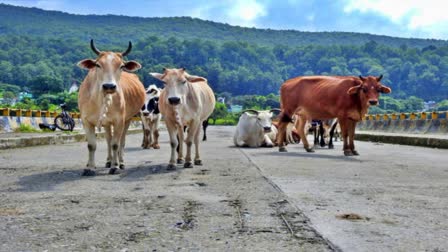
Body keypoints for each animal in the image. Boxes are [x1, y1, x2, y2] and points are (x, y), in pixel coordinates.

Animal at [77, 40, 145, 176]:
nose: (109, 86)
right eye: (98, 65)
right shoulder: (86, 121)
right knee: (108, 140)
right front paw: (90, 167)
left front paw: (115, 166)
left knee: (121, 141)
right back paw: (108, 161)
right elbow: (92, 145)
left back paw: (120, 162)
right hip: (107, 123)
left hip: (127, 119)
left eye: (121, 66)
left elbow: (115, 144)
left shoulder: (119, 121)